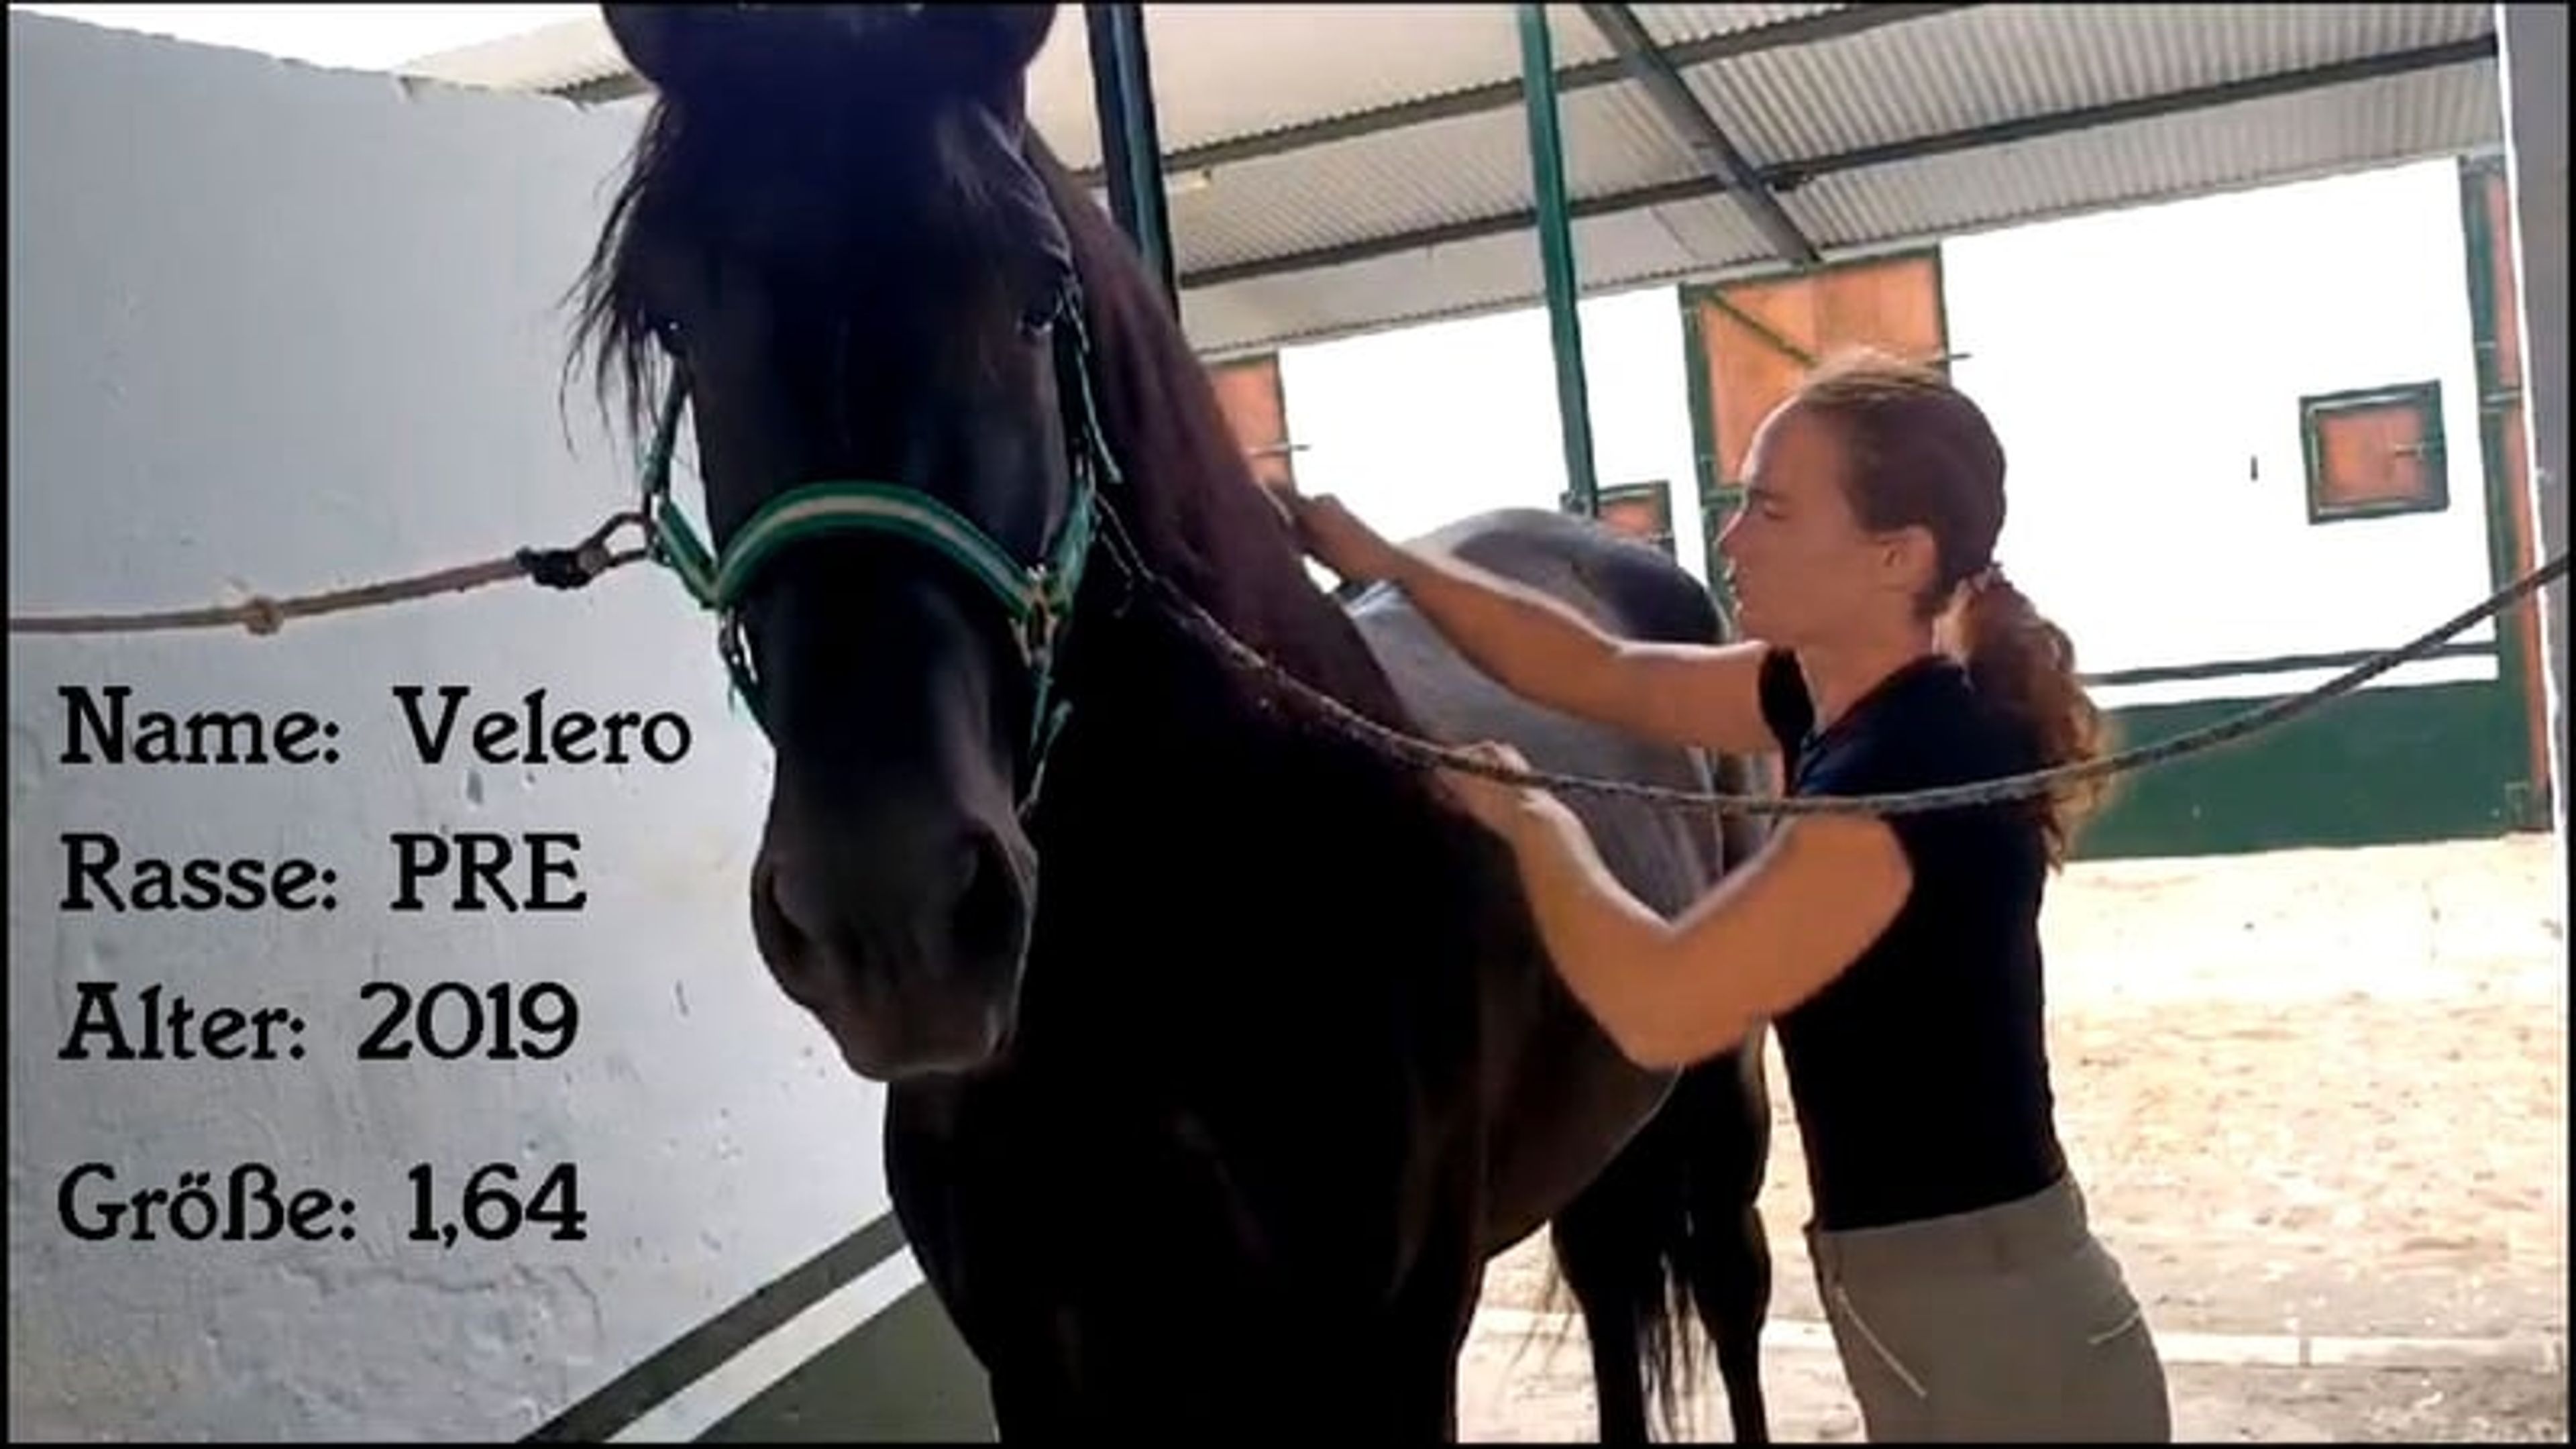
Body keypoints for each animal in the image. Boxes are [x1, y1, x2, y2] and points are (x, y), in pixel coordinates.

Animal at [571, 5, 1772, 1437]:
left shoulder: (1388, 1354)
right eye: (674, 318)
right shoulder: (1047, 1369)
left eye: (1038, 290)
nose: (890, 918)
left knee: (1731, 1299)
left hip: (1721, 1092)